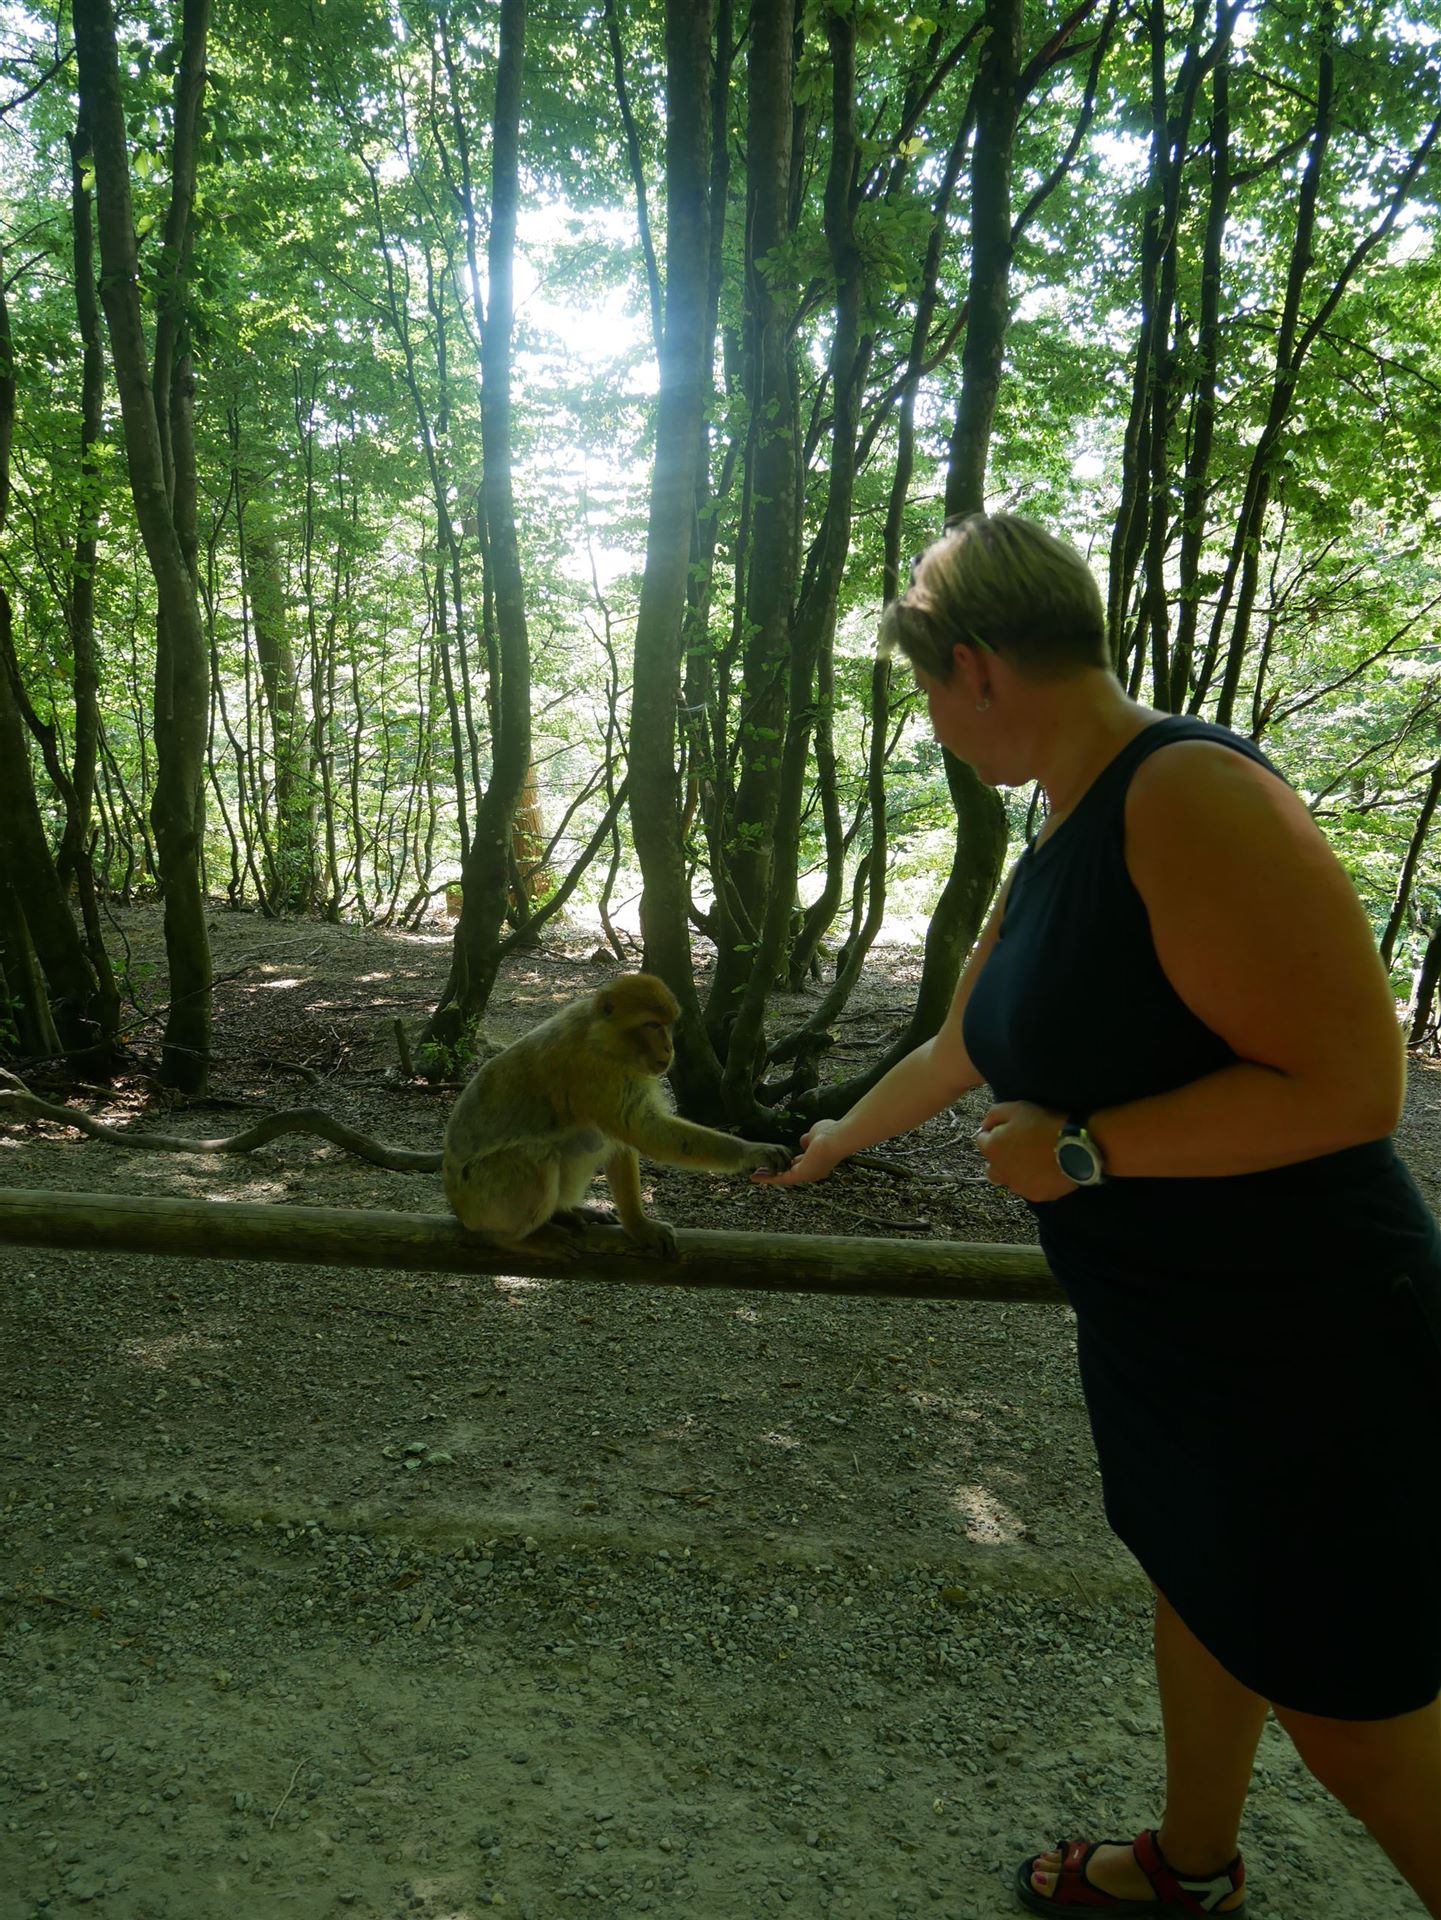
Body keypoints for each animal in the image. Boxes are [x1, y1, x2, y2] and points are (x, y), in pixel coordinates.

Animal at [441, 973, 792, 1257]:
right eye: (652, 1025)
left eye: (667, 1025)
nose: (669, 1049)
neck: (602, 1037)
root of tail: (457, 1206)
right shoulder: (597, 1069)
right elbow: (645, 1131)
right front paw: (752, 1151)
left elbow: (624, 1141)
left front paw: (638, 1226)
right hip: (482, 1200)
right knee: (537, 1155)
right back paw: (510, 1239)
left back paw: (563, 1212)